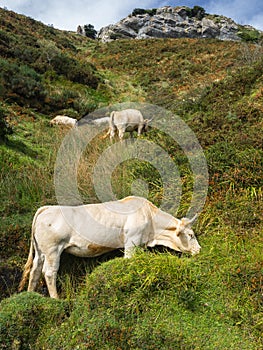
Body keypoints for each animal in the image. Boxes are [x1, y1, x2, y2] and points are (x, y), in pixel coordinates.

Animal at [18, 197, 201, 298]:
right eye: (191, 235)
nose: (199, 250)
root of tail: (47, 208)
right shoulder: (131, 242)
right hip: (53, 250)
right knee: (49, 272)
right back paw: (56, 299)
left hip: (40, 251)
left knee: (34, 271)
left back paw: (30, 294)